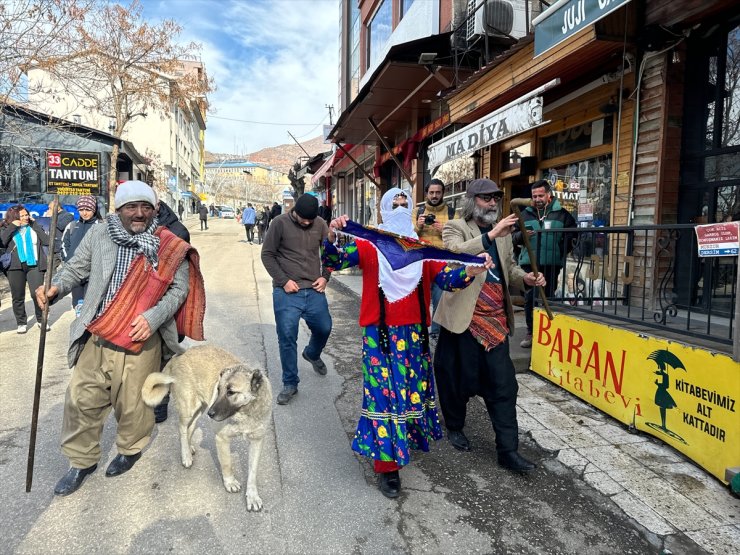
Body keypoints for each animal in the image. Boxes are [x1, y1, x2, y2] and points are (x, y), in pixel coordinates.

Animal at [142, 348, 272, 512]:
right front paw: (230, 482)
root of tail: (177, 356)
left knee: (190, 427)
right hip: (189, 408)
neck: (245, 413)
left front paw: (253, 496)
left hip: (200, 409)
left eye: (231, 392)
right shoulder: (222, 439)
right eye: (218, 389)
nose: (211, 414)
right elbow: (227, 464)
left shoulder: (257, 441)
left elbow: (253, 473)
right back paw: (185, 455)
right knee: (182, 428)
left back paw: (189, 448)